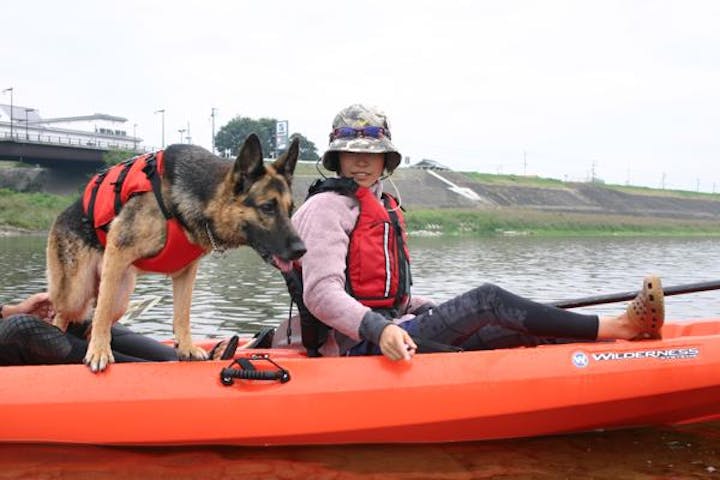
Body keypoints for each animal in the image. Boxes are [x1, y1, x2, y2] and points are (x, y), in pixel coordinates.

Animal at [47, 134, 306, 372]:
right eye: (267, 207)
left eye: (290, 209)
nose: (302, 250)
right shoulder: (118, 251)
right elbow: (101, 311)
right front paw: (99, 352)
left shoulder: (185, 273)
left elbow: (183, 313)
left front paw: (186, 347)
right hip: (77, 293)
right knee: (64, 315)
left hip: (121, 297)